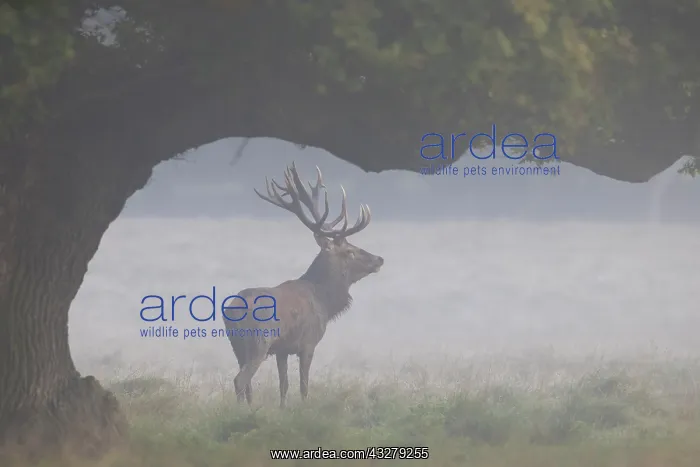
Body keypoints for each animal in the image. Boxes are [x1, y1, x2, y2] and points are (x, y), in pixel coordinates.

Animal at [225, 162, 384, 408]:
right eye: (350, 251)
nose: (379, 259)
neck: (325, 302)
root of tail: (232, 309)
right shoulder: (308, 343)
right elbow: (303, 386)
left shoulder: (282, 349)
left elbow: (283, 385)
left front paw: (283, 409)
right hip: (258, 341)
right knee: (240, 380)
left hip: (236, 345)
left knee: (247, 382)